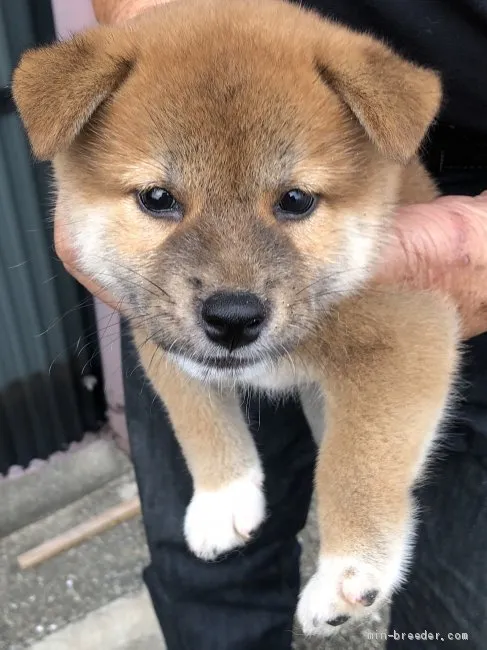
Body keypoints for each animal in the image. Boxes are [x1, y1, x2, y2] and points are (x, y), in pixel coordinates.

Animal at [13, 0, 460, 632]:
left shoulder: (408, 331)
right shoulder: (154, 330)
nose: (232, 316)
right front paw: (223, 497)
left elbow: (356, 462)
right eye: (157, 199)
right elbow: (195, 414)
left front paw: (349, 573)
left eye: (295, 200)